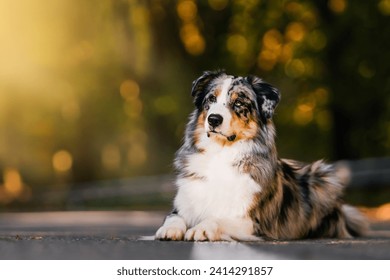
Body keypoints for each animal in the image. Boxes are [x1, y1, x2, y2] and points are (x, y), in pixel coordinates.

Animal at [155, 70, 366, 241]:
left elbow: (217, 217)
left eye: (238, 102)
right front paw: (169, 229)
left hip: (324, 175)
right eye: (211, 99)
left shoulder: (251, 220)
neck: (220, 152)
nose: (213, 119)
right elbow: (173, 217)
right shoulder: (182, 205)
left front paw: (201, 229)